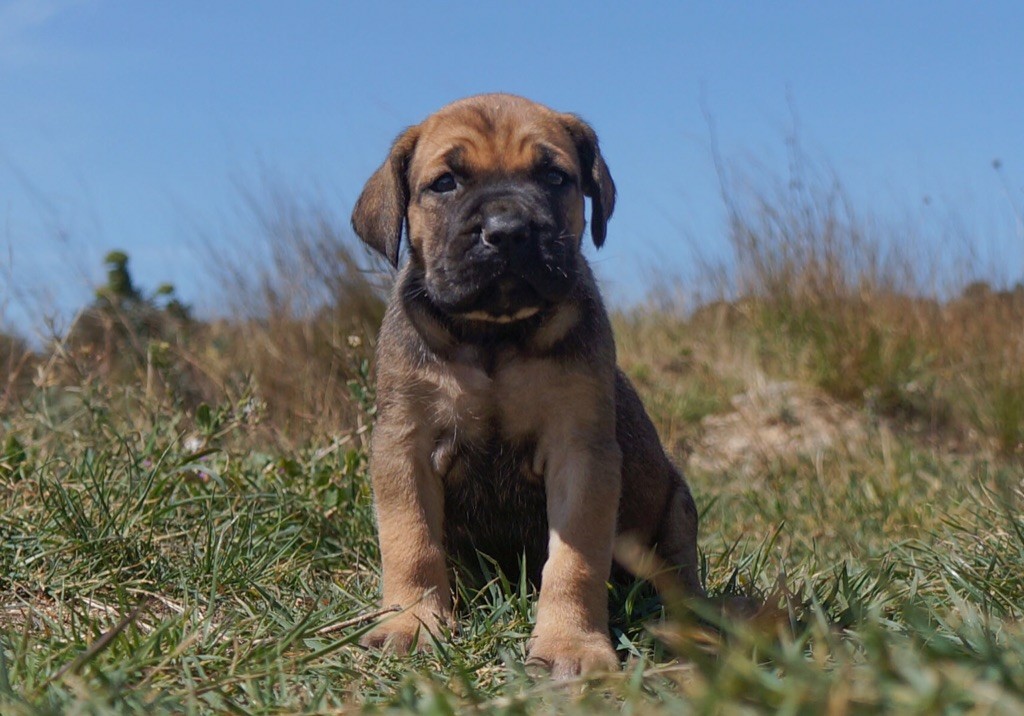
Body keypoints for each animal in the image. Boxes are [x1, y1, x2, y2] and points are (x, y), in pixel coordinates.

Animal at [352, 95, 704, 676]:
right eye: (444, 183)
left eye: (554, 176)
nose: (508, 229)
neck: (495, 335)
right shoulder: (404, 444)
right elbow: (410, 541)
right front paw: (411, 622)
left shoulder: (580, 452)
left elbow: (574, 561)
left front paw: (570, 644)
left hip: (678, 507)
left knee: (679, 575)